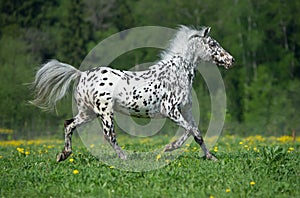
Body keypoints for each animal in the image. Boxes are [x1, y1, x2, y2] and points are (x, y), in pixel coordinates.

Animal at [30, 25, 234, 162]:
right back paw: (125, 157)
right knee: (109, 135)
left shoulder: (186, 110)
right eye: (213, 44)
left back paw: (63, 154)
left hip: (87, 113)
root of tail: (81, 75)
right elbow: (190, 130)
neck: (177, 73)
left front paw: (211, 157)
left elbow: (197, 132)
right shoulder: (171, 110)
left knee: (69, 125)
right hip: (105, 113)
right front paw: (169, 148)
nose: (231, 60)